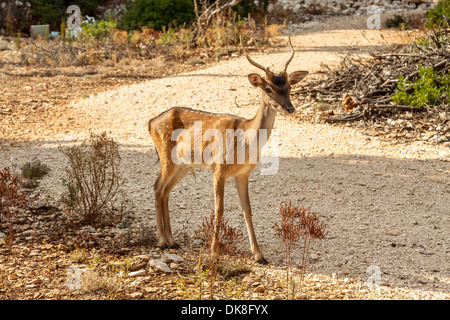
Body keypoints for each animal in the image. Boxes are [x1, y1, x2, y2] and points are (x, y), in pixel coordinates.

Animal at [149, 36, 308, 264]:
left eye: (289, 87)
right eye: (268, 89)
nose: (290, 107)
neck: (244, 142)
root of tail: (151, 122)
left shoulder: (243, 174)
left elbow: (247, 209)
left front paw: (259, 255)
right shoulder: (219, 168)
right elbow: (219, 209)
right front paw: (213, 252)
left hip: (183, 165)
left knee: (166, 190)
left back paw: (172, 240)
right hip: (166, 158)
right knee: (157, 187)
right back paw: (162, 241)